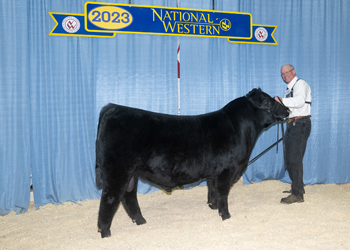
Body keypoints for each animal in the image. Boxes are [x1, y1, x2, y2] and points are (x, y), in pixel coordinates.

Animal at [94, 88, 288, 238]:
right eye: (268, 102)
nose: (287, 110)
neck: (239, 128)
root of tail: (113, 107)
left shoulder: (214, 172)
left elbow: (212, 190)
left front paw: (213, 207)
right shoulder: (227, 170)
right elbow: (223, 193)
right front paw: (225, 215)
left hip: (131, 174)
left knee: (128, 197)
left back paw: (140, 221)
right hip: (117, 171)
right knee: (109, 200)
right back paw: (106, 233)